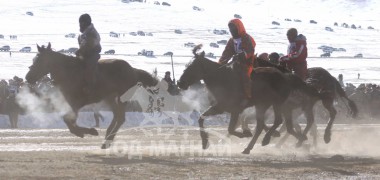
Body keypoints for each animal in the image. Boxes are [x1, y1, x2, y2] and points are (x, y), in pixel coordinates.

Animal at [25, 43, 158, 148]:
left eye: (40, 60)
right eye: (34, 59)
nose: (28, 77)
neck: (69, 73)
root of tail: (133, 70)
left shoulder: (77, 103)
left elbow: (69, 121)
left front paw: (89, 131)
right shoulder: (72, 103)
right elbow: (69, 121)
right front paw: (87, 131)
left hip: (121, 98)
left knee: (120, 118)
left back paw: (107, 140)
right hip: (111, 98)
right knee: (117, 116)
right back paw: (107, 138)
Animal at [177, 44, 320, 153]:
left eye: (192, 66)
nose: (180, 82)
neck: (223, 79)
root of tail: (285, 77)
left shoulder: (235, 110)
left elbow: (230, 128)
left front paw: (244, 133)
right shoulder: (219, 107)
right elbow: (201, 119)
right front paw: (205, 142)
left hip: (274, 104)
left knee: (278, 122)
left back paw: (268, 139)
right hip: (264, 105)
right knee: (266, 125)